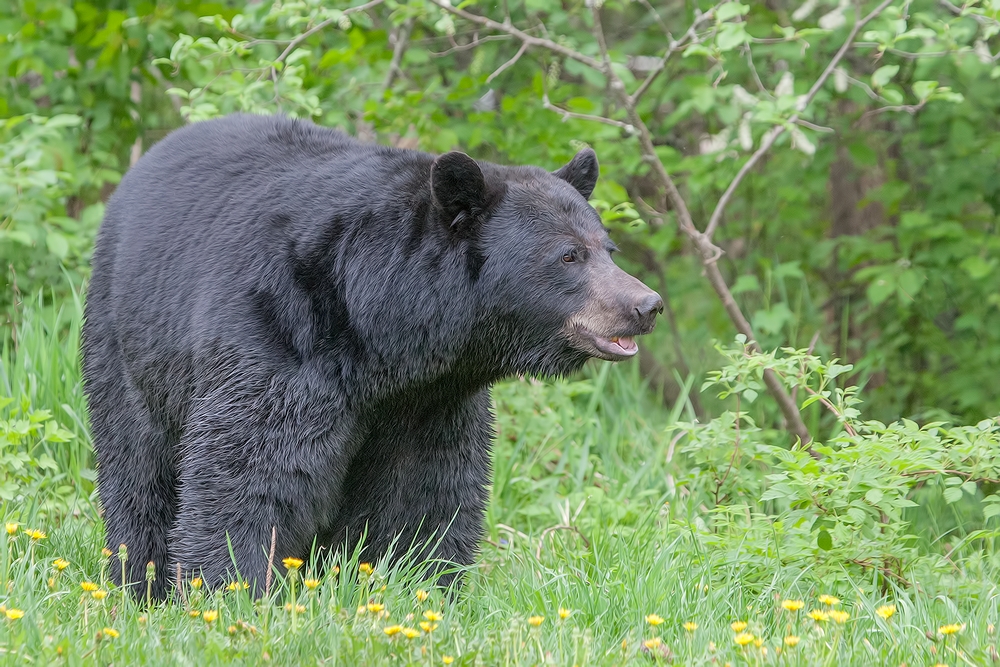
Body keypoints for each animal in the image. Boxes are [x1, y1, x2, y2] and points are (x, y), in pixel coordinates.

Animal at [82, 112, 660, 596]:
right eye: (568, 255)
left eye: (607, 248)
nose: (645, 304)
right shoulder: (281, 334)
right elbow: (250, 468)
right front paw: (229, 589)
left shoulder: (430, 399)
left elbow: (422, 491)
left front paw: (418, 585)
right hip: (129, 343)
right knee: (140, 465)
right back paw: (140, 582)